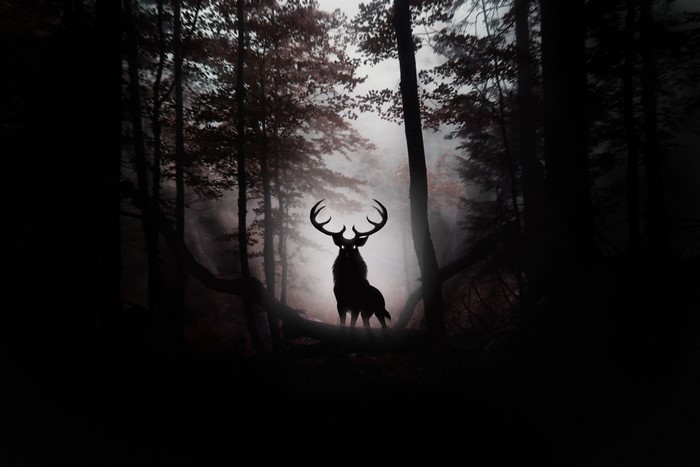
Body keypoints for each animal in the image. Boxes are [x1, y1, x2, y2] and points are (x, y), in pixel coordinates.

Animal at [310, 199, 391, 329]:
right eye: (342, 246)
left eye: (354, 246)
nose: (347, 255)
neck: (349, 285)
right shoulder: (340, 304)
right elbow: (343, 323)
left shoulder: (356, 306)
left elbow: (352, 324)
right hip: (367, 312)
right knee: (367, 323)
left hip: (378, 309)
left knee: (383, 324)